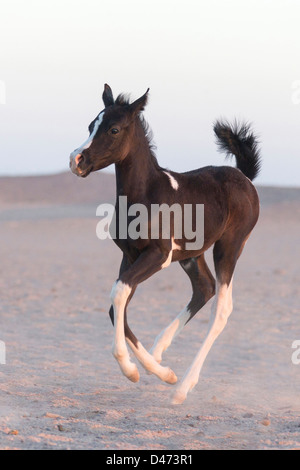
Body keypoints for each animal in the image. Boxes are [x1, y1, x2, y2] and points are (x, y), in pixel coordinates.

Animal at [69, 84, 260, 404]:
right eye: (90, 125)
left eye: (114, 129)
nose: (76, 161)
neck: (146, 193)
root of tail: (243, 176)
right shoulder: (130, 255)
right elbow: (116, 305)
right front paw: (157, 371)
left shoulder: (158, 255)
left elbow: (118, 294)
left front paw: (132, 369)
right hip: (192, 254)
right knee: (204, 288)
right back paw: (160, 353)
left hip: (230, 246)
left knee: (221, 308)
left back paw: (182, 388)